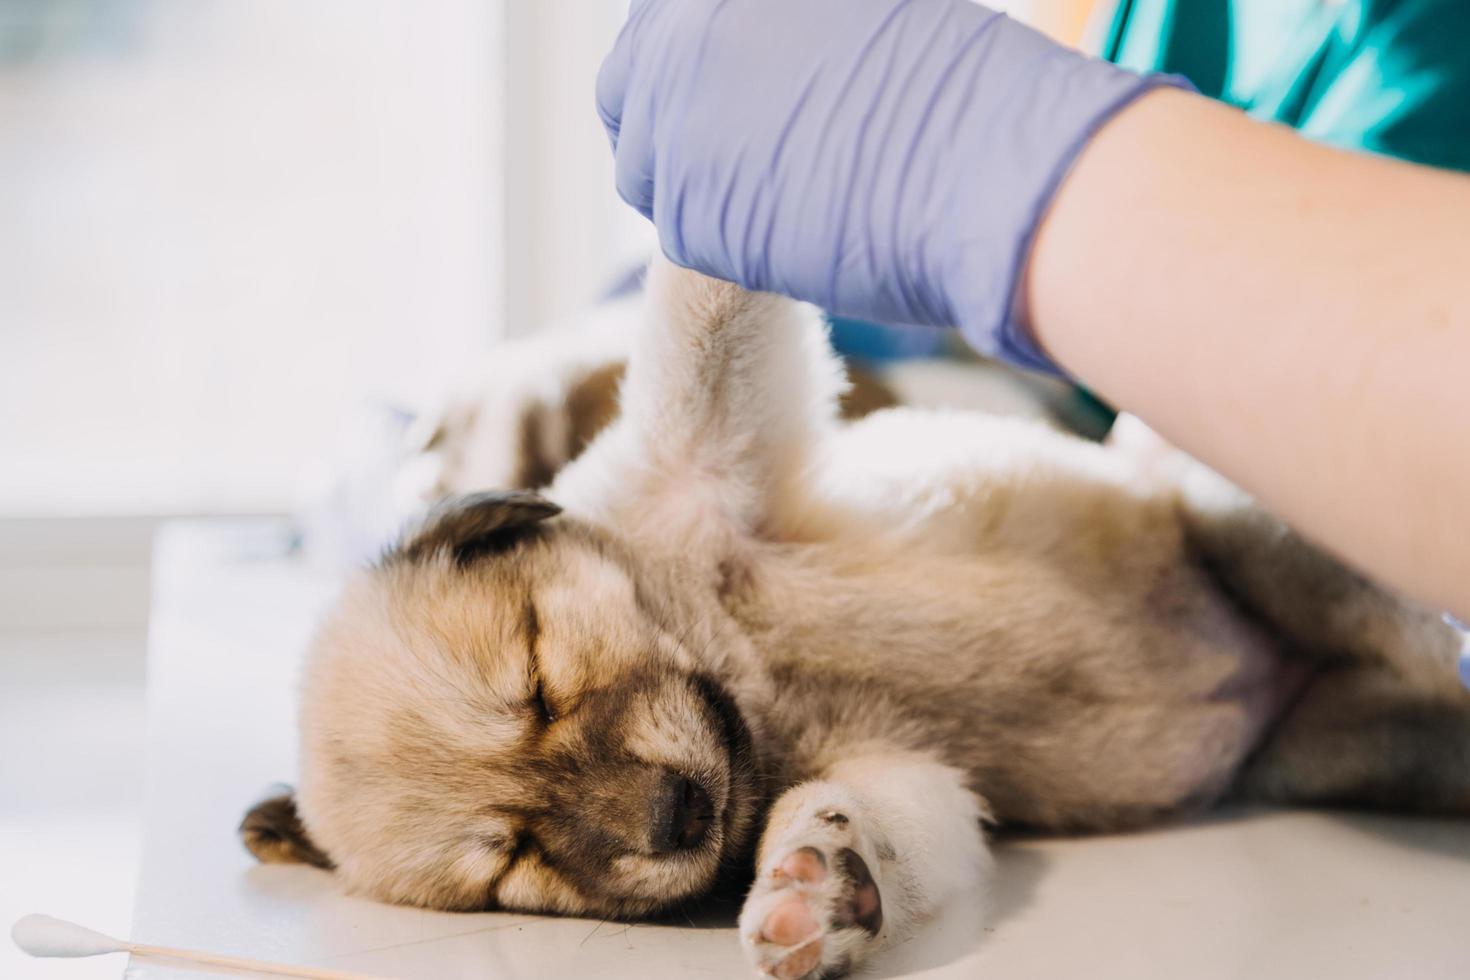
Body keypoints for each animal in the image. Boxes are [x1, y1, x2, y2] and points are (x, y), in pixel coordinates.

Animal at [244, 257, 1470, 975]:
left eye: (540, 675)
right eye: (511, 857)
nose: (676, 818)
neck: (751, 677)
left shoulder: (696, 448)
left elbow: (705, 314)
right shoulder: (901, 771)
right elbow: (870, 824)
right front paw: (821, 883)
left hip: (1236, 517)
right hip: (1350, 748)